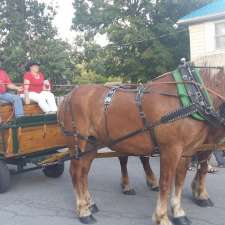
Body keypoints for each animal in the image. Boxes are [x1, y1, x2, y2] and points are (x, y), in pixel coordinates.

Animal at [57, 66, 225, 225]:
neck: (190, 96)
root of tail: (69, 95)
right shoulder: (170, 150)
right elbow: (166, 183)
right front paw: (162, 217)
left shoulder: (187, 152)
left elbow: (179, 181)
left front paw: (179, 213)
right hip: (77, 144)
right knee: (75, 172)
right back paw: (83, 211)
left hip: (92, 144)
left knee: (84, 173)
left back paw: (89, 203)